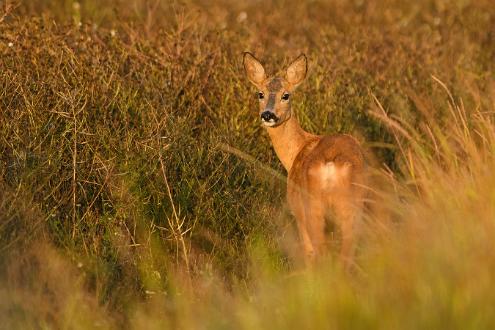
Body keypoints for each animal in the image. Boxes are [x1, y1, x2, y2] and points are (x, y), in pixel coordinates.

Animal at [242, 52, 366, 268]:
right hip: (351, 208)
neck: (297, 151)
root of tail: (330, 165)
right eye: (260, 93)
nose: (268, 115)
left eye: (286, 95)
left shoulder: (297, 211)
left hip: (312, 208)